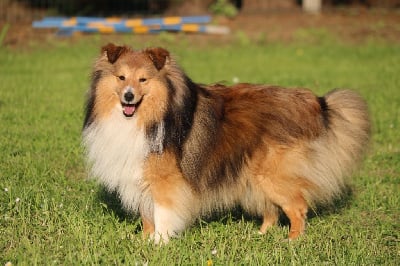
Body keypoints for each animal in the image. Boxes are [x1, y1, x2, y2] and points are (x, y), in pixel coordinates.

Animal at [82, 43, 372, 243]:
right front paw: (144, 240)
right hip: (254, 174)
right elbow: (147, 214)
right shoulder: (139, 175)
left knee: (298, 207)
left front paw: (159, 243)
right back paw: (260, 235)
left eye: (143, 79)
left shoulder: (165, 179)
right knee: (271, 210)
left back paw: (291, 241)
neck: (148, 116)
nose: (128, 97)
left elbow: (162, 212)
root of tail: (313, 102)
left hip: (272, 174)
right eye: (121, 78)